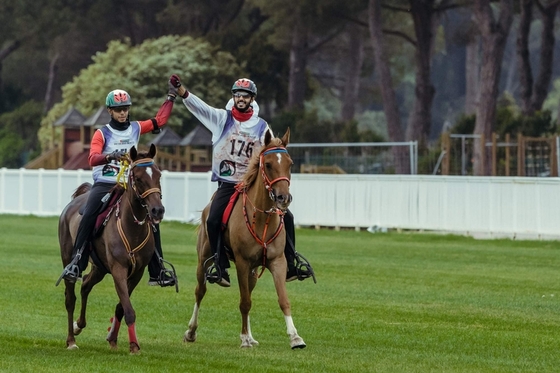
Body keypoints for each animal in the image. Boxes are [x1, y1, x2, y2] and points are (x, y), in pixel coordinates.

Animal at [58, 144, 164, 354]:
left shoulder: (137, 272)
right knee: (70, 298)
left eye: (158, 175)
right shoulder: (118, 269)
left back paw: (79, 325)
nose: (157, 210)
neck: (132, 228)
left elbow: (121, 307)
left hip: (100, 267)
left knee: (86, 285)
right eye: (138, 178)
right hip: (69, 260)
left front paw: (114, 339)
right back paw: (71, 340)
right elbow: (128, 309)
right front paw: (134, 346)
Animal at [184, 128, 306, 348]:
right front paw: (243, 339)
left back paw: (250, 335)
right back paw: (191, 331)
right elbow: (244, 302)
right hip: (203, 261)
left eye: (290, 163)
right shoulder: (242, 262)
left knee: (247, 291)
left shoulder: (277, 262)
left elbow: (282, 300)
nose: (283, 198)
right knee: (200, 291)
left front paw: (295, 337)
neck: (263, 219)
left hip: (253, 270)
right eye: (268, 164)